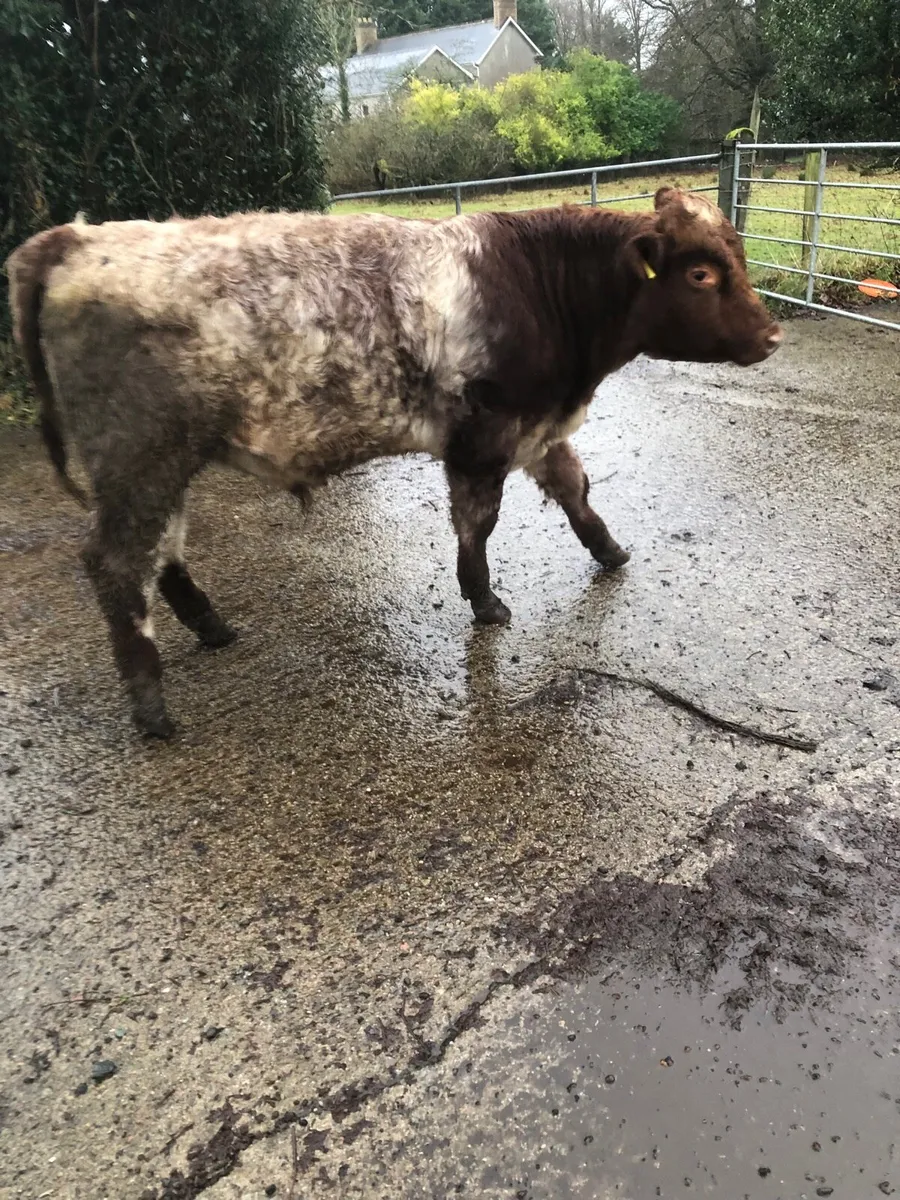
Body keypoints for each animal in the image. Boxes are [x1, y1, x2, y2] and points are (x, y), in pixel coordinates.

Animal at [6, 188, 782, 737]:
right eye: (702, 272)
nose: (773, 334)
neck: (539, 285)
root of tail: (76, 237)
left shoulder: (539, 425)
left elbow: (576, 490)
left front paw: (611, 553)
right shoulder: (485, 434)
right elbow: (478, 523)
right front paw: (484, 602)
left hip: (161, 465)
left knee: (161, 552)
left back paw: (212, 629)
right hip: (138, 458)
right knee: (117, 565)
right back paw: (152, 705)